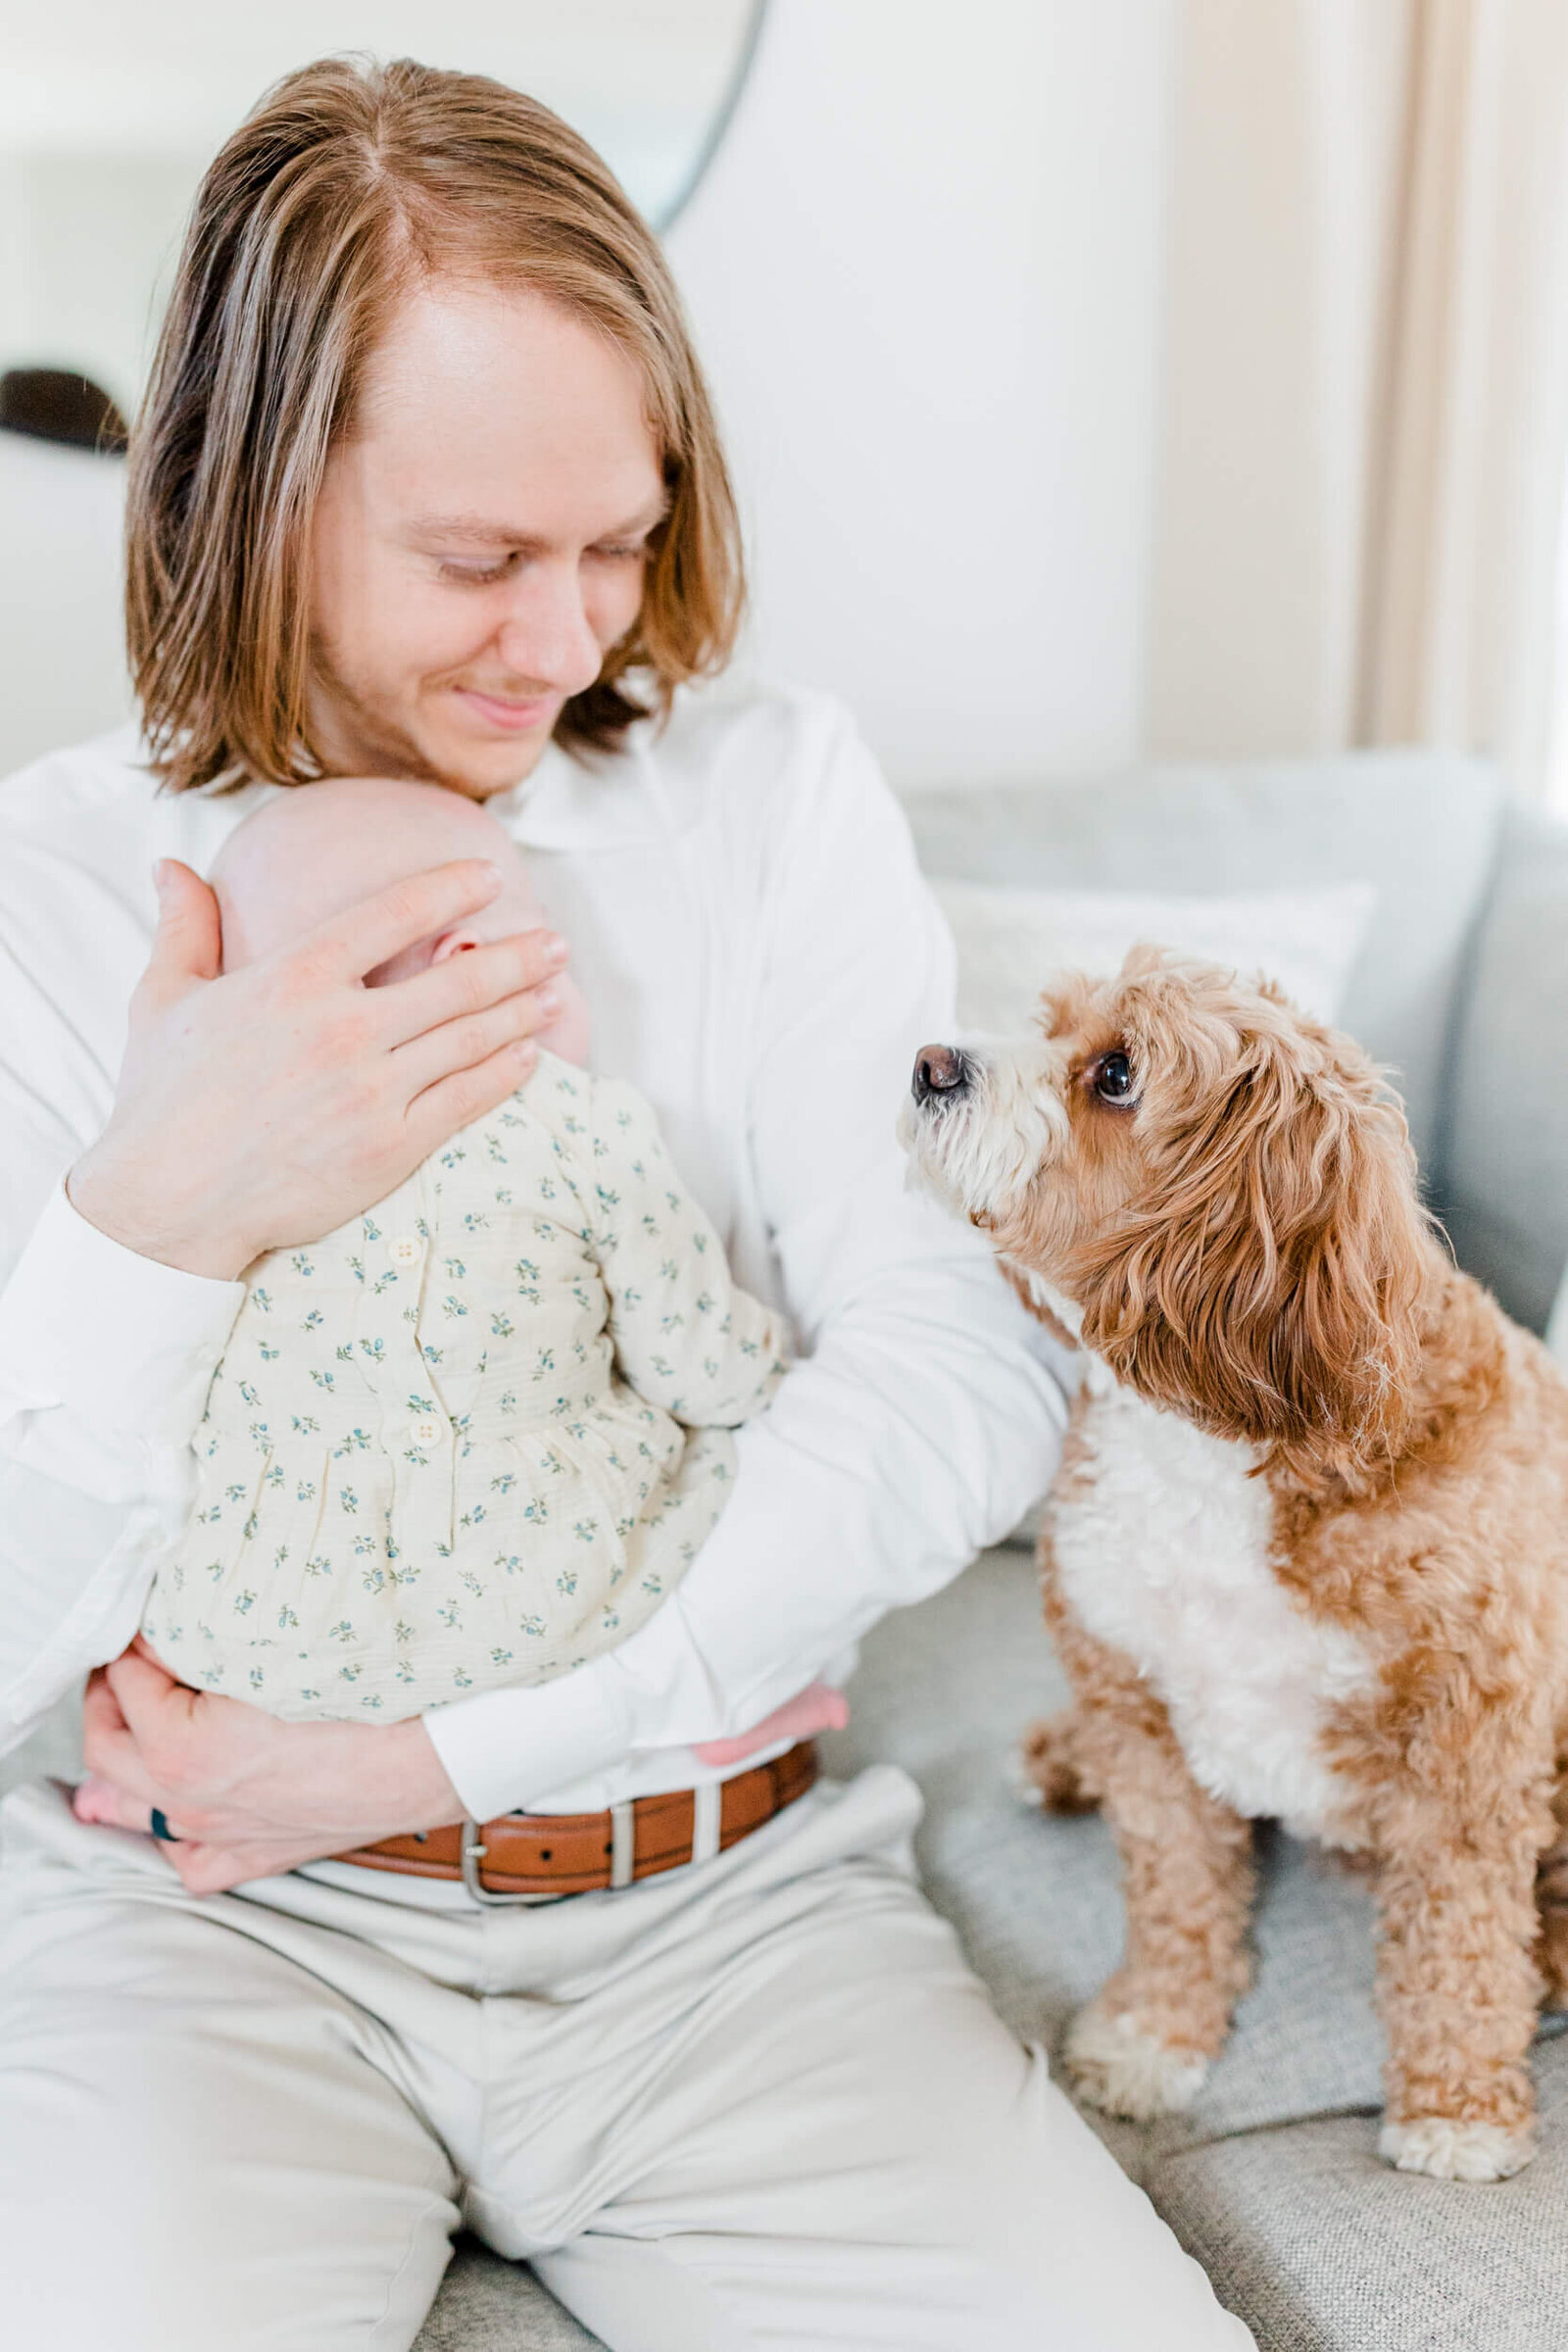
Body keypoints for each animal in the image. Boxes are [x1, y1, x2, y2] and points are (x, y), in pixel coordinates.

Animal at [903, 945, 1568, 2173]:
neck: (1208, 1445)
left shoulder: (1468, 1744)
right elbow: (1175, 1891)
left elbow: (1455, 1933)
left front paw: (1454, 2109)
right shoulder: (1139, 1704)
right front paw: (1152, 2035)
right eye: (1049, 1025)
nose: (928, 1062)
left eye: (1115, 1074)